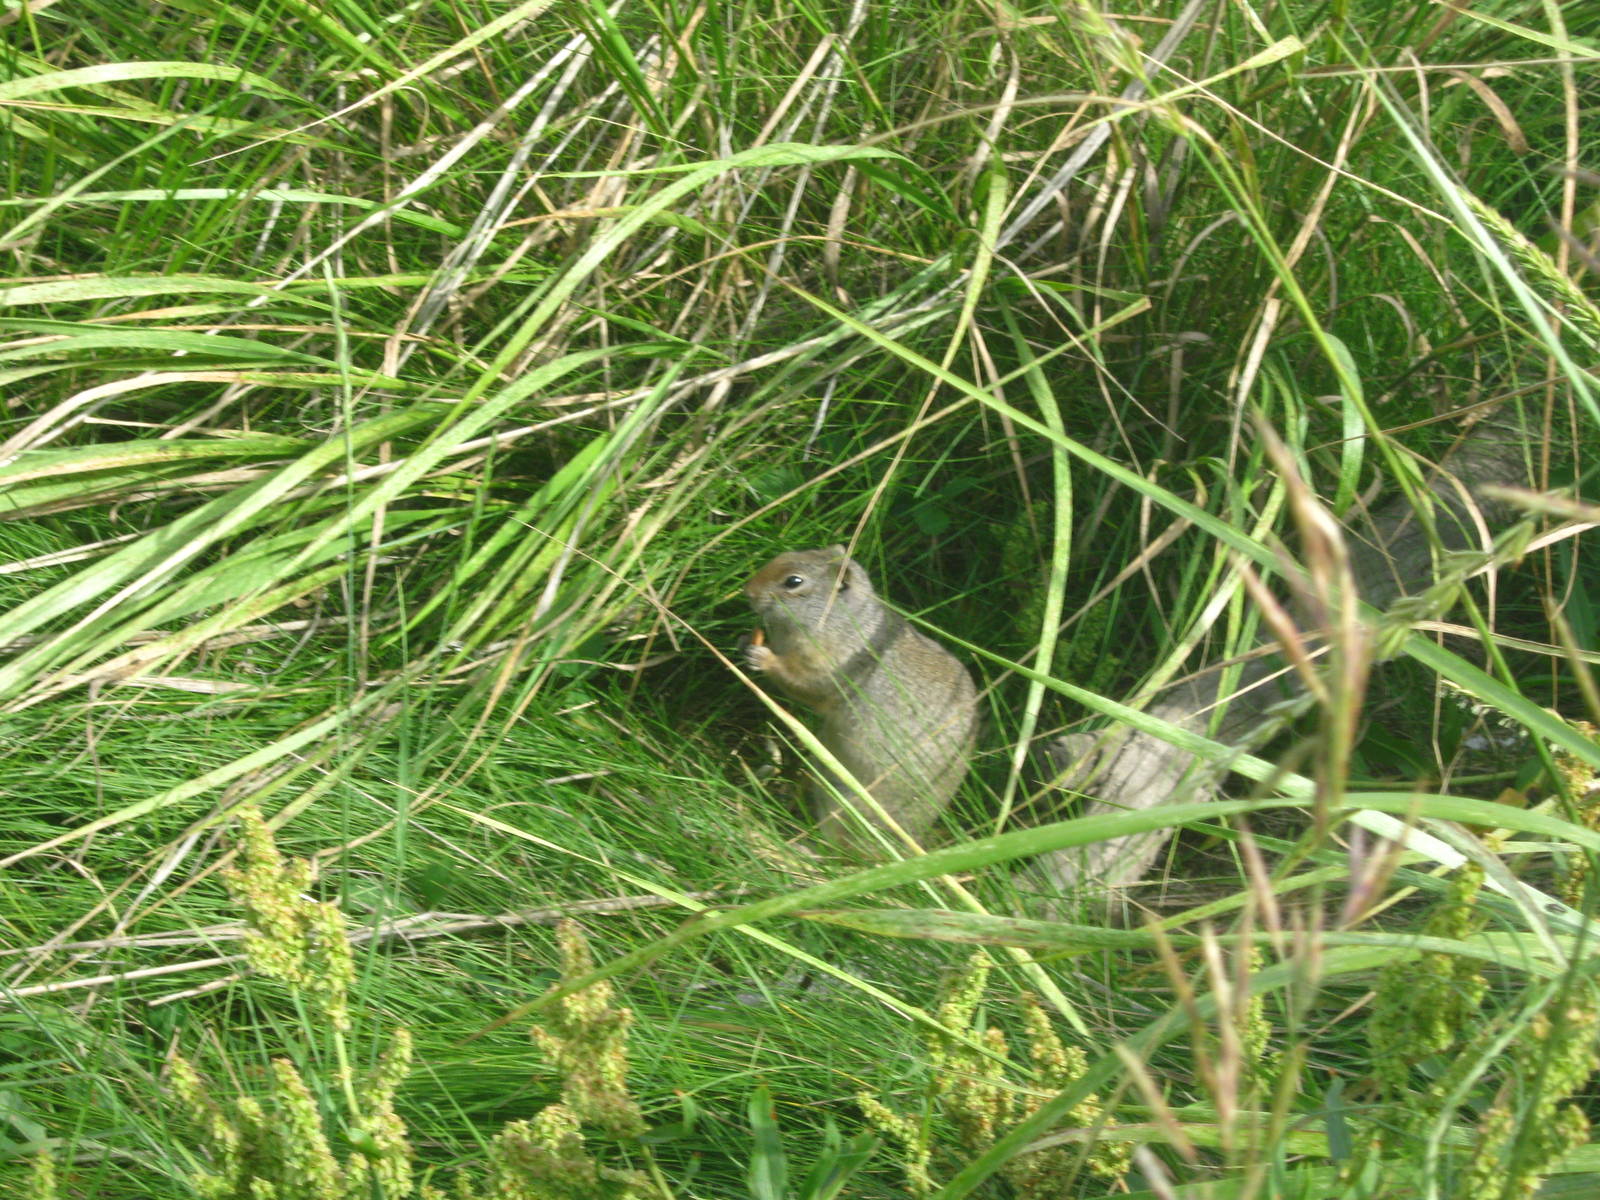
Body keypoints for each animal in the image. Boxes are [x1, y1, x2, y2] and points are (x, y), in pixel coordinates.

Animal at [742, 545, 977, 850]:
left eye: (793, 581)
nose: (748, 592)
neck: (840, 619)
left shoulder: (829, 663)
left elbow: (804, 684)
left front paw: (764, 658)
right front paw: (745, 641)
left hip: (847, 811)